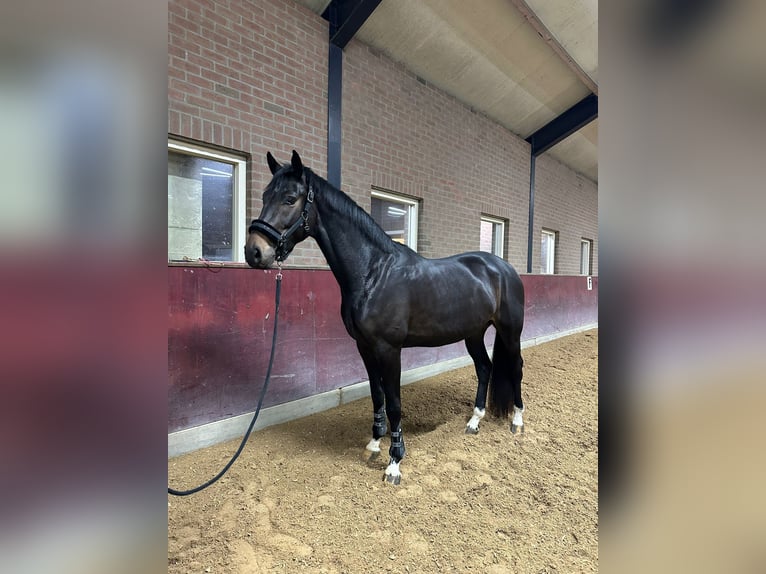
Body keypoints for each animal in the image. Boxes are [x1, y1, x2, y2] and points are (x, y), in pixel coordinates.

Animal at [245, 150, 525, 485]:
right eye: (264, 196)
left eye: (289, 199)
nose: (254, 252)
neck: (373, 273)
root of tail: (503, 268)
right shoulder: (365, 347)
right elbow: (377, 395)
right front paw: (374, 444)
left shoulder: (389, 349)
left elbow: (393, 403)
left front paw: (395, 462)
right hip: (474, 332)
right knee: (484, 368)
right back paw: (474, 421)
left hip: (510, 331)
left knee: (516, 368)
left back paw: (518, 421)